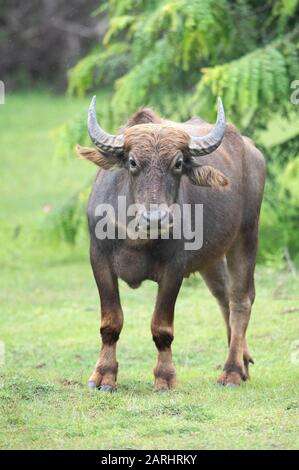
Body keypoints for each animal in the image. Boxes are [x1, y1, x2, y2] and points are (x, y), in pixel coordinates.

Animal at [76, 94, 266, 390]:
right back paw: (243, 363)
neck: (137, 238)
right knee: (223, 297)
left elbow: (161, 326)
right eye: (132, 162)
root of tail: (252, 152)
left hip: (247, 235)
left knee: (240, 300)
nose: (157, 217)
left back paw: (232, 371)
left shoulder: (174, 268)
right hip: (211, 259)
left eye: (178, 163)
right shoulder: (99, 260)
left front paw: (165, 377)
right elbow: (111, 323)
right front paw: (104, 375)